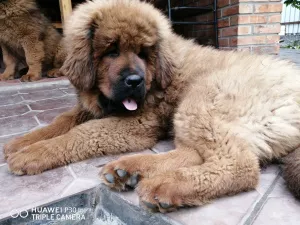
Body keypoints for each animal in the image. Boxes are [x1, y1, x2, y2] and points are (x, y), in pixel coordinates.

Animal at [3, 0, 300, 213]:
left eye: (143, 53)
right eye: (111, 51)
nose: (135, 81)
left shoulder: (139, 124)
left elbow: (83, 133)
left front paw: (33, 154)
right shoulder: (91, 107)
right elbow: (62, 121)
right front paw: (22, 142)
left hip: (202, 99)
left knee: (240, 165)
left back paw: (165, 185)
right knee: (194, 152)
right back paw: (129, 170)